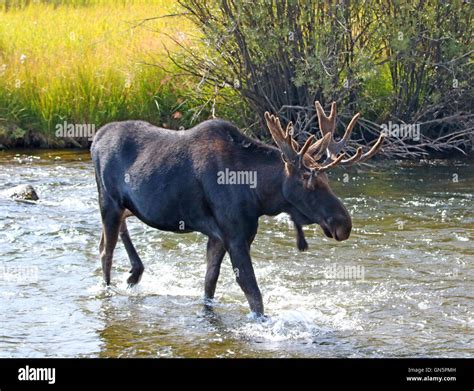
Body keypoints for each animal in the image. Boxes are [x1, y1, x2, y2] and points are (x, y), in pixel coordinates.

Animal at [90, 102, 384, 318]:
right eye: (308, 181)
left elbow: (209, 283)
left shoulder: (219, 236)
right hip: (109, 201)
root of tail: (94, 139)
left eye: (327, 180)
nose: (344, 224)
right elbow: (253, 293)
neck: (258, 196)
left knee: (111, 236)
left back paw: (135, 272)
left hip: (124, 206)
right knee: (105, 251)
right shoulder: (235, 235)